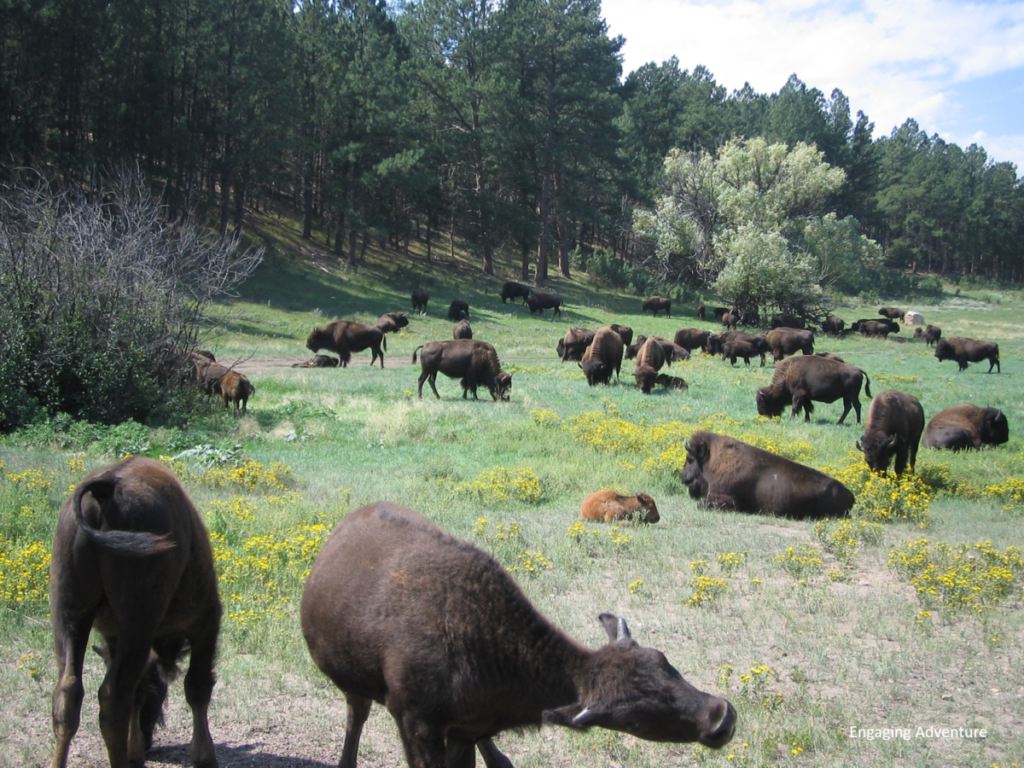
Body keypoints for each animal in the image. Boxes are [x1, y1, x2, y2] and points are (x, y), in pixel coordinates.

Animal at [48, 456, 221, 768]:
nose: (150, 742)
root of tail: (105, 487)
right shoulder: (206, 622)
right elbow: (198, 687)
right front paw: (204, 757)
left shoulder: (112, 637)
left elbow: (137, 693)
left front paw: (135, 750)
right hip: (138, 621)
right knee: (113, 698)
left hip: (69, 615)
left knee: (68, 694)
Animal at [299, 501, 733, 768]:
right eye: (634, 717)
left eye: (666, 663)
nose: (721, 718)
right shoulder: (419, 727)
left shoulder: (464, 730)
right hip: (354, 684)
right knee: (355, 718)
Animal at [679, 430, 856, 520]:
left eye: (690, 458)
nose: (682, 476)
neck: (712, 460)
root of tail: (850, 495)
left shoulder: (723, 498)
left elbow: (702, 504)